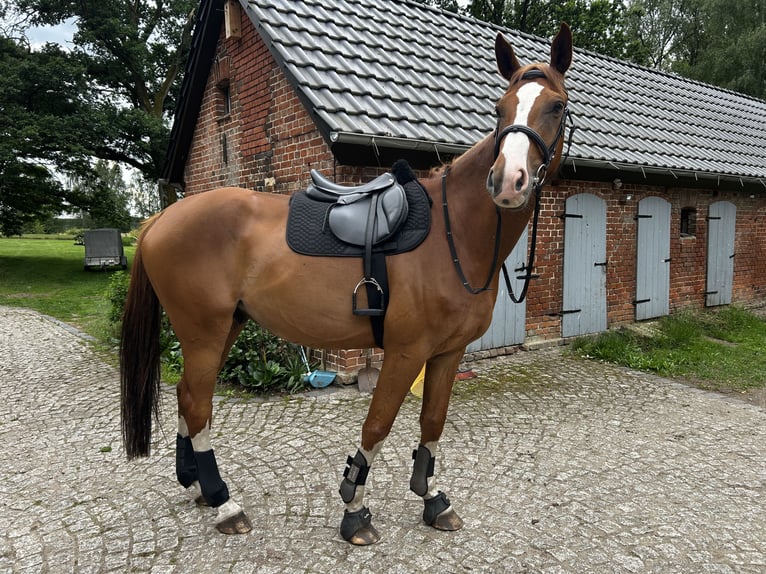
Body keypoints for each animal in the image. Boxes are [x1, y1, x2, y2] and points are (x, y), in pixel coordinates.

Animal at [120, 23, 573, 546]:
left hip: (226, 326)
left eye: (555, 106)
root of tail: (160, 219)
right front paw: (355, 509)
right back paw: (223, 502)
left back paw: (195, 484)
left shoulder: (447, 353)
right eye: (500, 108)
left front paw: (432, 498)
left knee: (188, 396)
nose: (507, 181)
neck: (452, 230)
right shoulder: (405, 352)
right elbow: (377, 425)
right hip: (204, 333)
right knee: (196, 403)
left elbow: (432, 422)